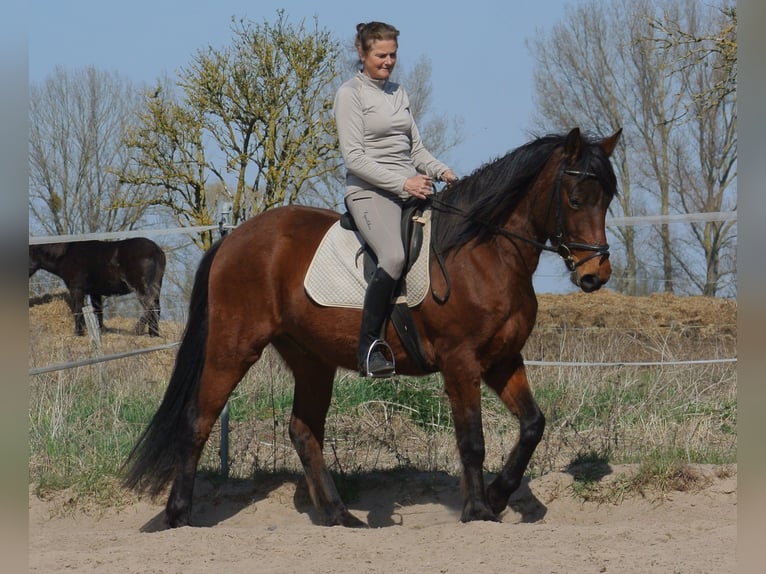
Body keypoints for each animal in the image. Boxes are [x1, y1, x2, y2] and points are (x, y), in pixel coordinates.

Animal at [29, 237, 166, 337]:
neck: (65, 255)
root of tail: (156, 250)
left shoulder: (77, 290)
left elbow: (78, 310)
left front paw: (78, 333)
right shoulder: (95, 292)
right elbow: (98, 312)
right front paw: (99, 332)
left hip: (141, 287)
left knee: (150, 307)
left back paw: (139, 330)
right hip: (155, 287)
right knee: (156, 308)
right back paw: (154, 334)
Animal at [123, 127, 622, 528]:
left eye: (609, 198)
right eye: (576, 199)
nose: (595, 275)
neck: (485, 252)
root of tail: (233, 239)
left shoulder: (502, 358)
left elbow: (533, 424)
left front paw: (499, 497)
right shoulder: (461, 362)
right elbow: (472, 440)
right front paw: (479, 510)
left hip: (312, 360)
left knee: (303, 430)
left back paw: (339, 516)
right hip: (234, 346)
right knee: (199, 418)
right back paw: (177, 515)